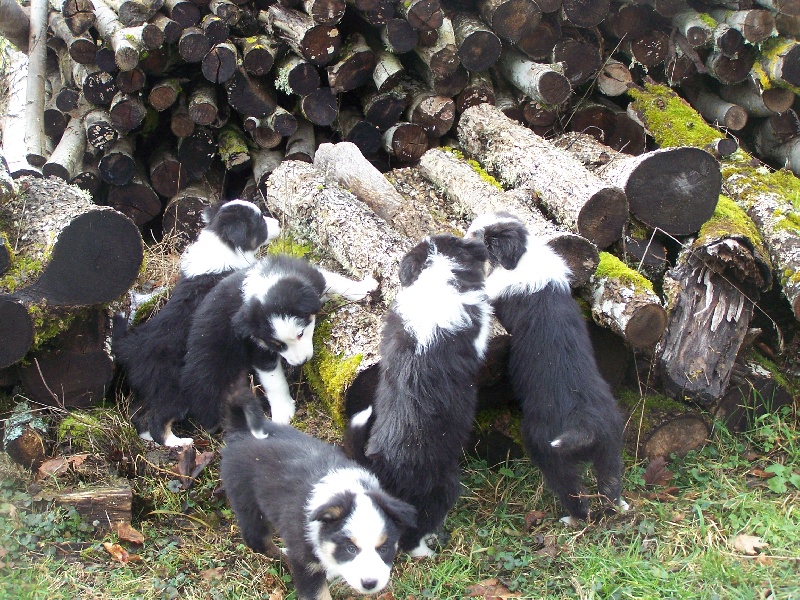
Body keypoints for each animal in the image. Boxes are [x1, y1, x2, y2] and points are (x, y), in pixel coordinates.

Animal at [111, 199, 282, 448]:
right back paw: (178, 442)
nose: (278, 222)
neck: (223, 244)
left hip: (151, 390)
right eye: (259, 221)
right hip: (173, 390)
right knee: (158, 421)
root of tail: (130, 349)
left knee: (138, 416)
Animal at [179, 253, 378, 436]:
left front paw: (363, 287)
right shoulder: (258, 347)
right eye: (277, 344)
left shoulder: (309, 278)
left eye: (300, 334)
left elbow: (333, 279)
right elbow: (274, 381)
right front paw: (283, 411)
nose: (301, 362)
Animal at [222, 384, 416, 600]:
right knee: (257, 539)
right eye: (351, 549)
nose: (369, 583)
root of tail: (241, 429)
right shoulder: (306, 564)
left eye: (383, 548)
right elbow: (317, 592)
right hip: (246, 500)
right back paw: (282, 554)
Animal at [466, 211, 628, 524]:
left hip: (546, 448)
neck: (524, 256)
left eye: (484, 239)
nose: (464, 236)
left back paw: (572, 519)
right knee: (610, 485)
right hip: (610, 445)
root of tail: (585, 426)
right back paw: (619, 506)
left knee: (573, 494)